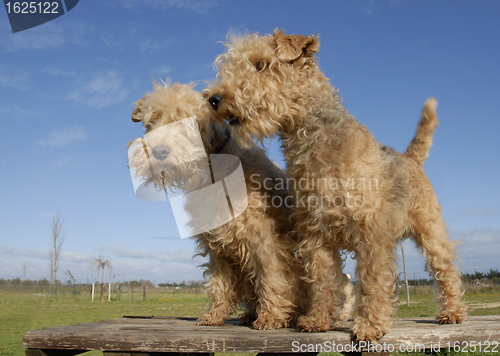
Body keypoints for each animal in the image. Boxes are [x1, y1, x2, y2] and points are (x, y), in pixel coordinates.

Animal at [206, 30, 464, 342]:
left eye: (261, 64)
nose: (214, 99)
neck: (315, 145)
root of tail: (410, 158)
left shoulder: (371, 234)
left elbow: (372, 282)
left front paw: (369, 326)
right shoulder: (315, 235)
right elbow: (321, 280)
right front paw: (317, 320)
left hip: (430, 231)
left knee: (447, 270)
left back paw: (452, 313)